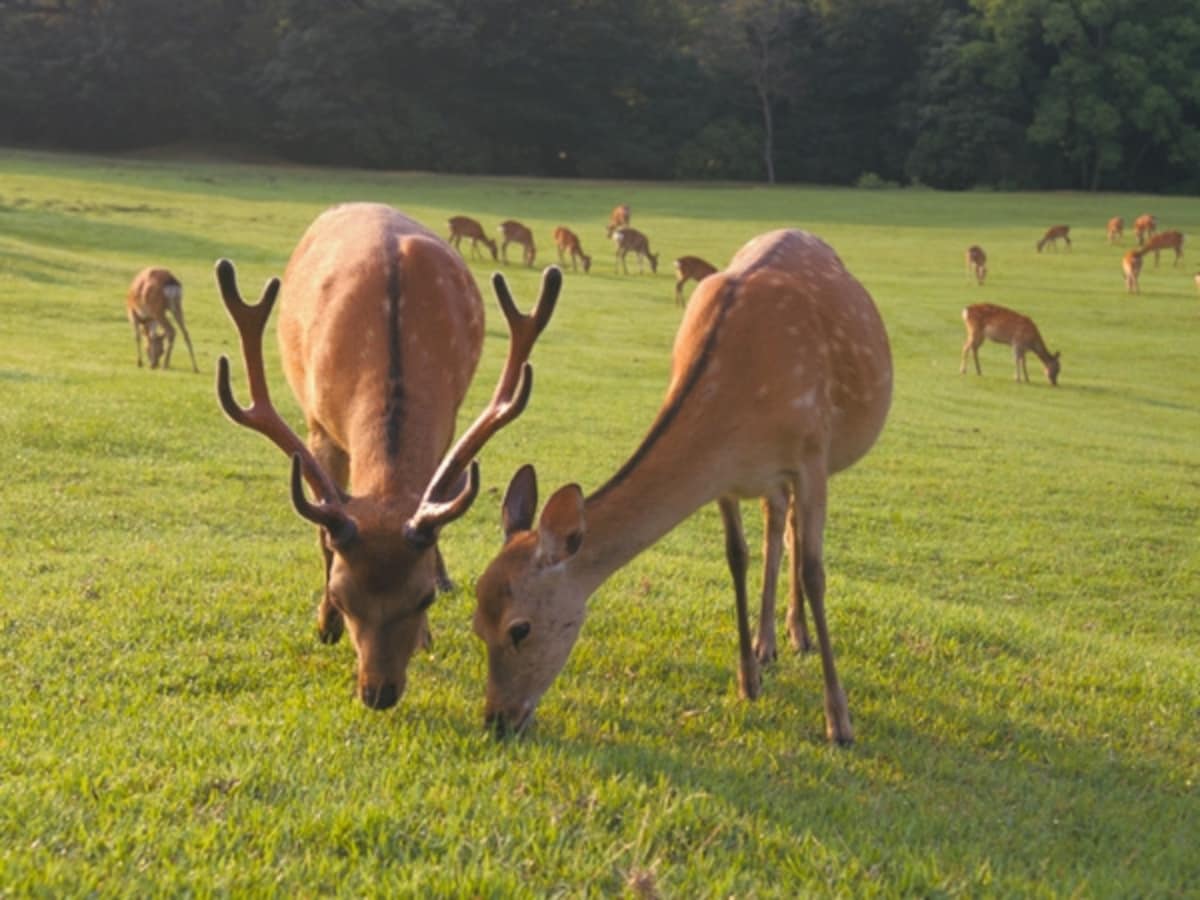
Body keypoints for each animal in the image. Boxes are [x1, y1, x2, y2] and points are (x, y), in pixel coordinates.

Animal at [215, 203, 559, 711]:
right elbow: (323, 535)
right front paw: (324, 627)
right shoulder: (319, 425)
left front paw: (428, 633)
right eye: (341, 596)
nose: (378, 693)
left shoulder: (448, 421)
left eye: (423, 599)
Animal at [473, 229, 893, 745]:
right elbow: (736, 557)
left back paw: (799, 635)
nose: (497, 720)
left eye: (520, 628)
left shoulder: (812, 455)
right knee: (778, 525)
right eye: (477, 625)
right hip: (772, 482)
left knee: (796, 534)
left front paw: (839, 721)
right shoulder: (725, 478)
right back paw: (769, 642)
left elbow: (816, 572)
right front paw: (747, 679)